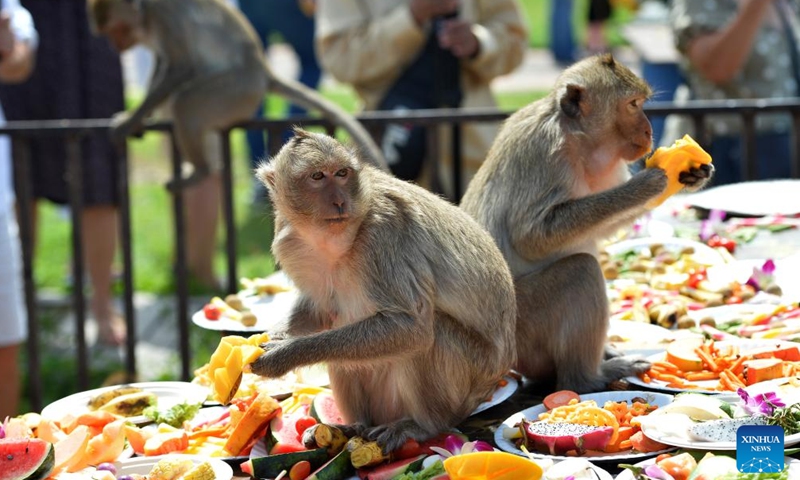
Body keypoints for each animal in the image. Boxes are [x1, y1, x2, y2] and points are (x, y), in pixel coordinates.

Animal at [87, 0, 388, 189]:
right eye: (109, 33)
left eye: (118, 30)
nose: (116, 46)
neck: (146, 12)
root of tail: (263, 72)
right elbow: (163, 63)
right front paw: (137, 117)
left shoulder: (163, 17)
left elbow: (180, 66)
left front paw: (129, 121)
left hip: (237, 91)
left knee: (184, 104)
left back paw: (200, 171)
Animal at [250, 127, 520, 454]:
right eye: (317, 176)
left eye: (341, 173)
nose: (339, 202)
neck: (335, 240)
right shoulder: (291, 243)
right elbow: (319, 310)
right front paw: (277, 335)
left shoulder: (384, 233)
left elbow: (411, 326)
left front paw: (286, 353)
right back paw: (354, 426)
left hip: (466, 384)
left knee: (431, 333)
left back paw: (422, 426)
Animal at [456, 54, 712, 396]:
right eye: (632, 104)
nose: (648, 131)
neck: (577, 140)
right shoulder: (546, 152)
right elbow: (532, 236)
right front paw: (647, 184)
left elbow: (601, 229)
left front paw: (693, 176)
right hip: (524, 326)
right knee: (582, 271)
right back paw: (587, 377)